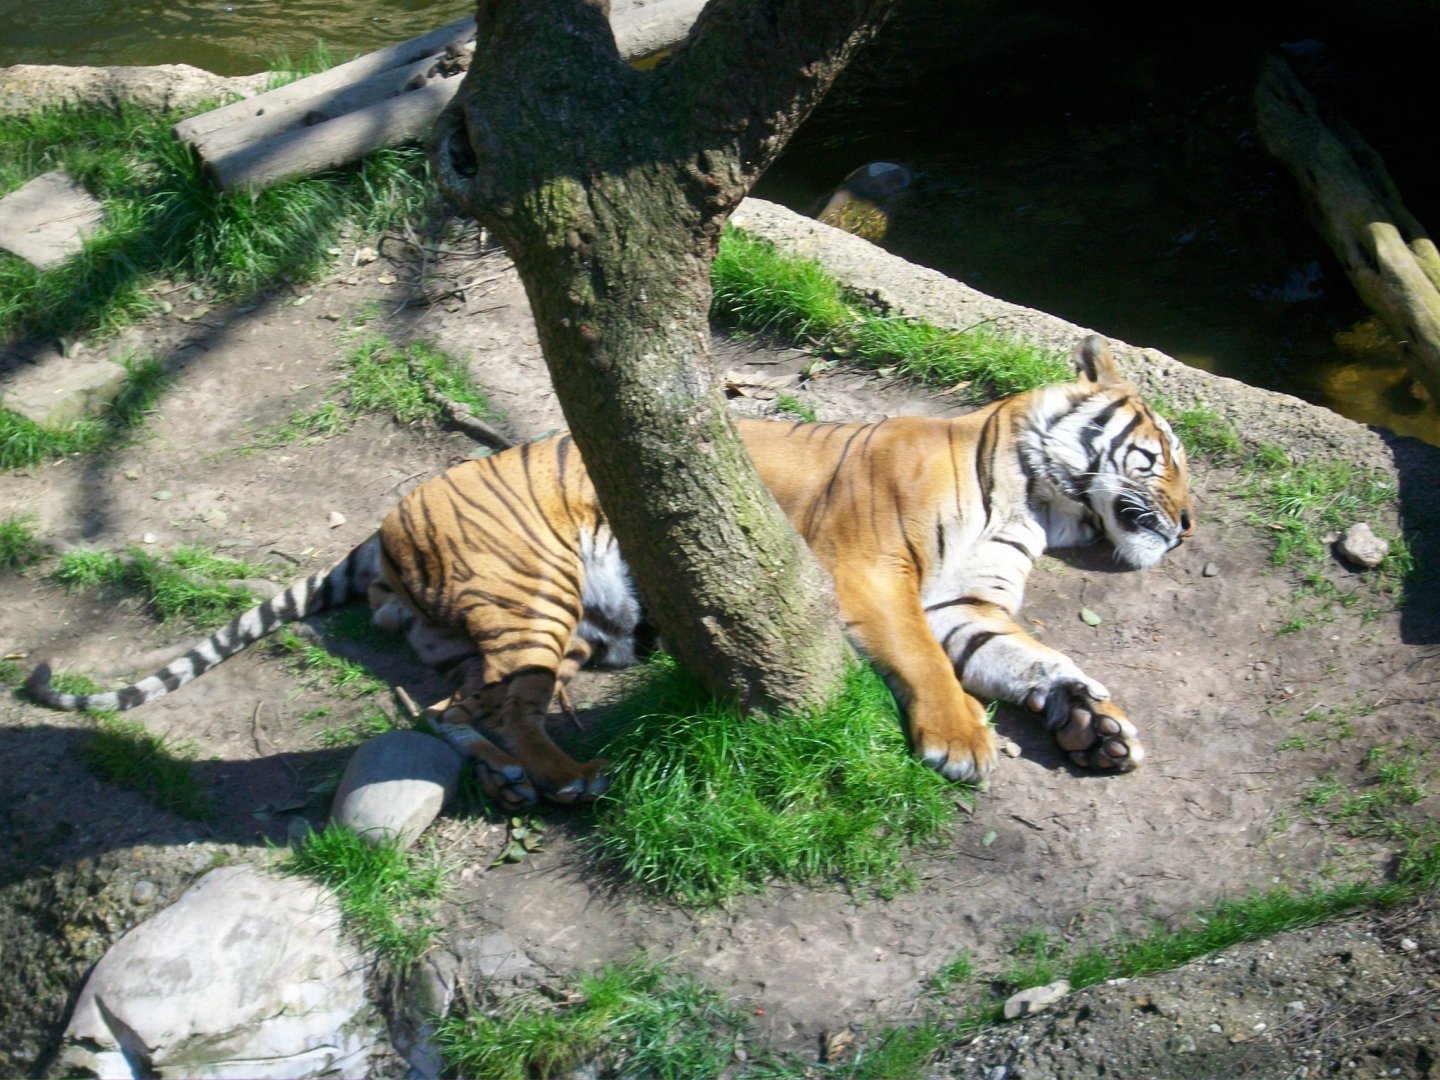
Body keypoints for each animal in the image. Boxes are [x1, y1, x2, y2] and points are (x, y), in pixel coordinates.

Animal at [27, 335, 1193, 810]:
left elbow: (1031, 660)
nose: (1185, 529)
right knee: (498, 703)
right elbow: (928, 665)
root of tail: (383, 520)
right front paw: (961, 743)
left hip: (549, 631)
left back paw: (517, 780)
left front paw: (1097, 727)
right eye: (1164, 456)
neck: (1037, 505)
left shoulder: (968, 605)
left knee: (453, 703)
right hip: (536, 584)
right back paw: (568, 776)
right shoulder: (874, 575)